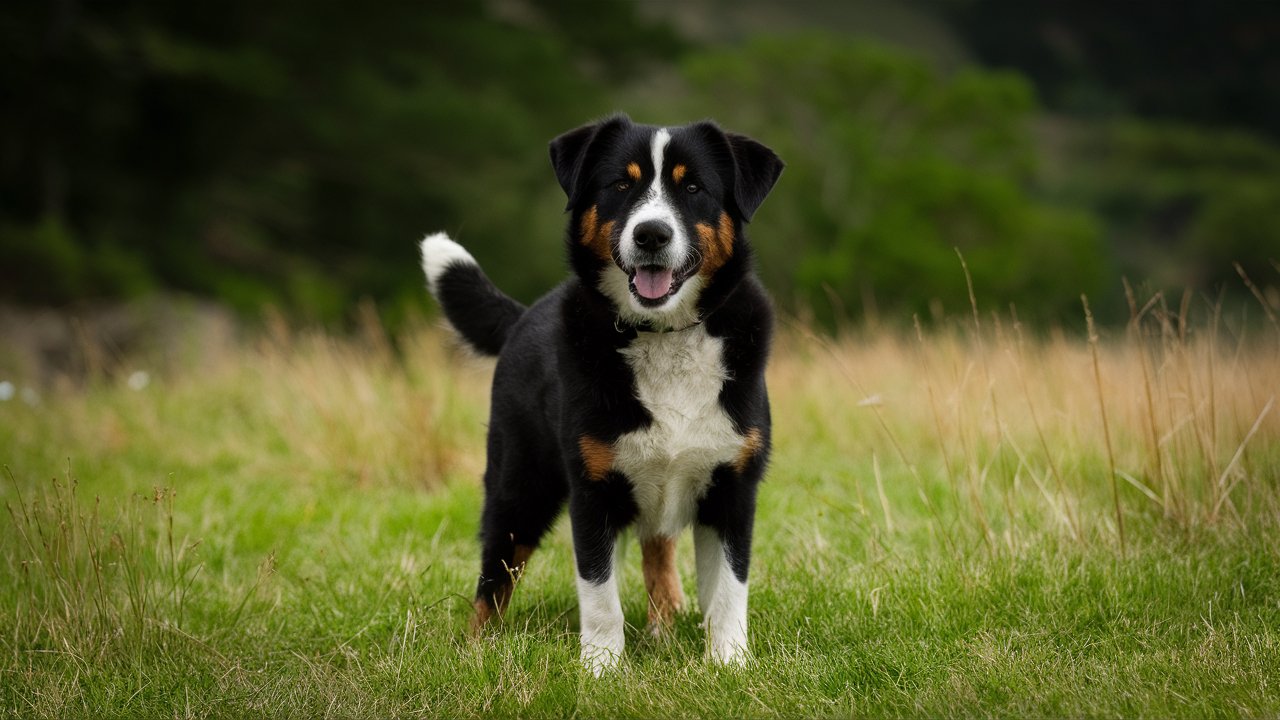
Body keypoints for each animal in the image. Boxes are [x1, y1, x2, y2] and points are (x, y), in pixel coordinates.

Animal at [419, 113, 778, 671]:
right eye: (620, 185)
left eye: (693, 187)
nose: (651, 233)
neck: (663, 336)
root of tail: (524, 314)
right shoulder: (593, 489)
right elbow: (599, 591)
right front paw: (602, 669)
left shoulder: (733, 487)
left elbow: (728, 592)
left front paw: (729, 665)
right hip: (520, 487)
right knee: (492, 580)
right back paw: (476, 652)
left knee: (657, 550)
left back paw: (663, 626)